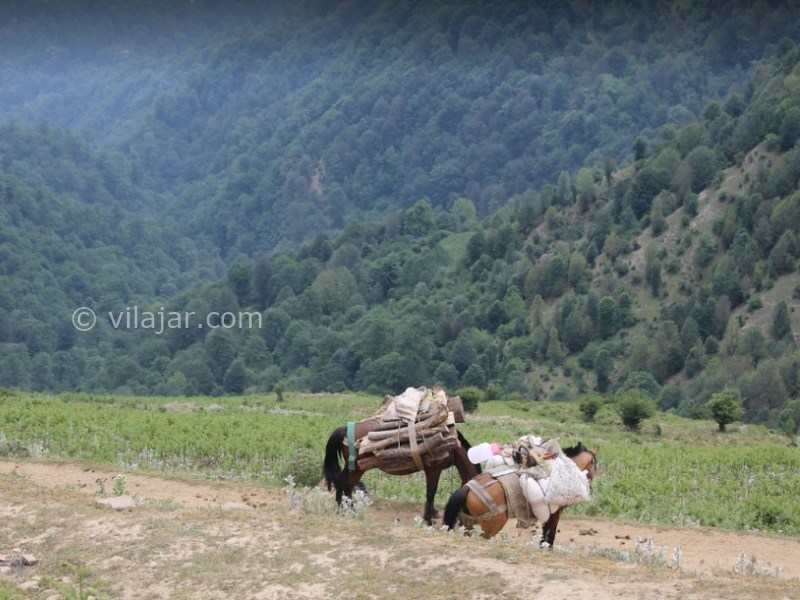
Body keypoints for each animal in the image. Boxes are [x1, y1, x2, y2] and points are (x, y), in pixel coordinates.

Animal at [324, 418, 482, 524]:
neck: (451, 445)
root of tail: (345, 428)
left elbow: (431, 493)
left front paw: (433, 514)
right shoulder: (433, 469)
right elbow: (431, 493)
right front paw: (429, 519)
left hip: (351, 467)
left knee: (342, 483)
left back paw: (342, 510)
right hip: (358, 468)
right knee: (346, 484)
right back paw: (349, 511)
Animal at [440, 440, 596, 548]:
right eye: (595, 465)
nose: (591, 485)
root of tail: (467, 488)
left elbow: (545, 531)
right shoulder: (555, 512)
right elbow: (550, 532)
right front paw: (547, 548)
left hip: (468, 523)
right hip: (491, 526)